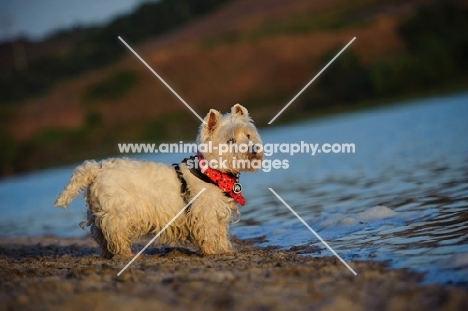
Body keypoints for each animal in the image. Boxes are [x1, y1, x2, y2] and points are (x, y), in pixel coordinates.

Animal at [54, 105, 264, 258]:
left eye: (248, 135)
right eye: (230, 140)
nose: (254, 149)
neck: (212, 172)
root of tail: (97, 169)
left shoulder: (217, 213)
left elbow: (220, 233)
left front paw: (226, 250)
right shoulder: (204, 213)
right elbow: (209, 233)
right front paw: (214, 252)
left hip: (100, 214)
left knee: (101, 236)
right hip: (117, 214)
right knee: (116, 235)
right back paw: (128, 255)